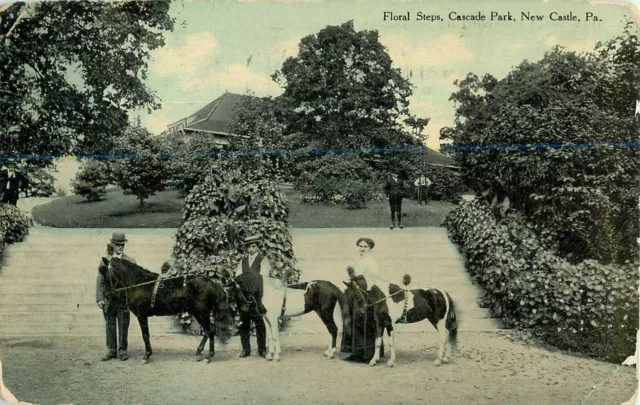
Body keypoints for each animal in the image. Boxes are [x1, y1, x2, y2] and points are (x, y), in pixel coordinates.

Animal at [102, 258, 235, 364]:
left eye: (107, 276)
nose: (106, 295)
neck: (140, 283)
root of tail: (213, 283)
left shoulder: (142, 315)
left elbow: (145, 335)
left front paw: (146, 356)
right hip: (200, 313)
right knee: (208, 332)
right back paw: (199, 353)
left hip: (201, 313)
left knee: (210, 331)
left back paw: (208, 356)